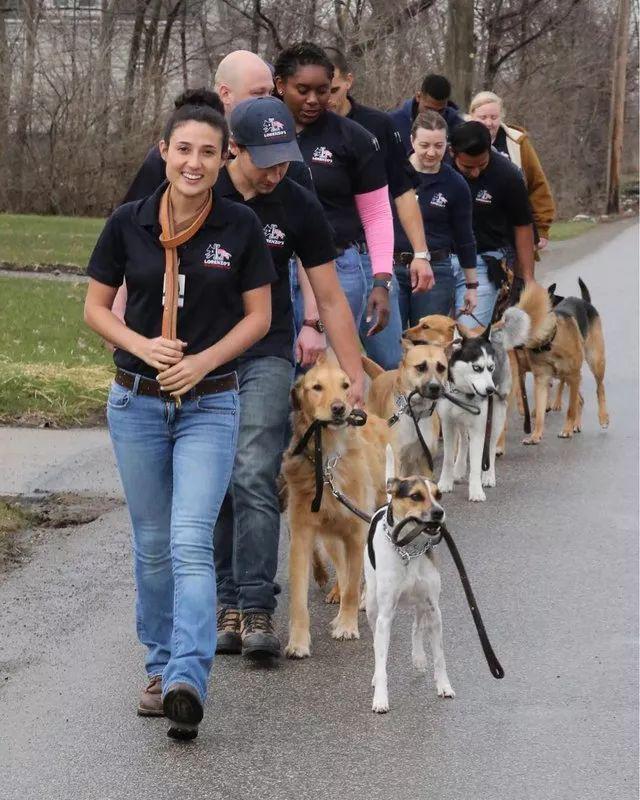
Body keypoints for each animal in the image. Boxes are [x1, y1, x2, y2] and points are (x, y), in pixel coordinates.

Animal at [284, 354, 390, 656]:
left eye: (344, 385)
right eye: (316, 387)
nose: (340, 408)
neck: (328, 462)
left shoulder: (355, 533)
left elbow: (353, 585)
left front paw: (346, 626)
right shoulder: (302, 534)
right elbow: (298, 600)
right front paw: (298, 642)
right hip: (331, 535)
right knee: (341, 570)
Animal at [362, 340, 448, 478]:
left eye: (441, 368)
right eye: (421, 367)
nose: (435, 387)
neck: (415, 414)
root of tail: (381, 374)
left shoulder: (425, 460)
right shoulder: (397, 459)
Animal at [502, 280, 608, 444]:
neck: (549, 343)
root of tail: (585, 302)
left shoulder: (574, 376)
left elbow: (570, 409)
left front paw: (566, 430)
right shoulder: (541, 379)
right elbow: (540, 412)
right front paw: (535, 435)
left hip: (595, 361)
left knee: (599, 388)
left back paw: (602, 418)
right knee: (580, 400)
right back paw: (576, 424)